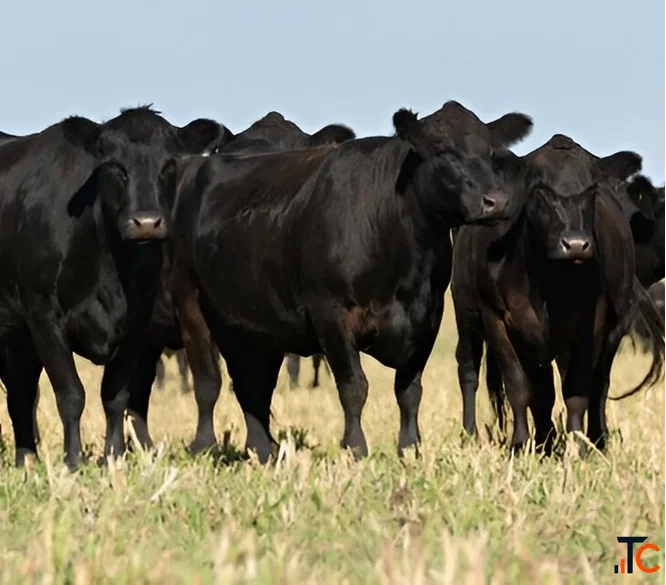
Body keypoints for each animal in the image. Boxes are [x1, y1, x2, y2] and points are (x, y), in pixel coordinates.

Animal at [0, 106, 228, 469]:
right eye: (113, 166)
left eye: (169, 164)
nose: (146, 223)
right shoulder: (43, 316)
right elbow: (71, 394)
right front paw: (73, 461)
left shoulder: (136, 324)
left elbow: (115, 395)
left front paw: (114, 456)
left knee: (21, 392)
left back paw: (26, 458)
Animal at [168, 100, 534, 463]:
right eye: (444, 150)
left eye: (490, 152)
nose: (496, 201)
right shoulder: (329, 313)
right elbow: (354, 386)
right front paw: (356, 448)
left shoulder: (428, 317)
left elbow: (409, 390)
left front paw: (410, 447)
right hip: (190, 300)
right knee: (208, 381)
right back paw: (205, 445)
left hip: (252, 323)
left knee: (253, 387)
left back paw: (262, 449)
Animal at [451, 133, 666, 453]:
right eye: (539, 190)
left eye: (591, 190)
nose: (575, 244)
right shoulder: (495, 318)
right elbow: (517, 385)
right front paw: (520, 444)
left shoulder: (594, 324)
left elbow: (576, 389)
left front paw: (579, 446)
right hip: (465, 310)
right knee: (468, 369)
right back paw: (471, 436)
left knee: (580, 386)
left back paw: (565, 440)